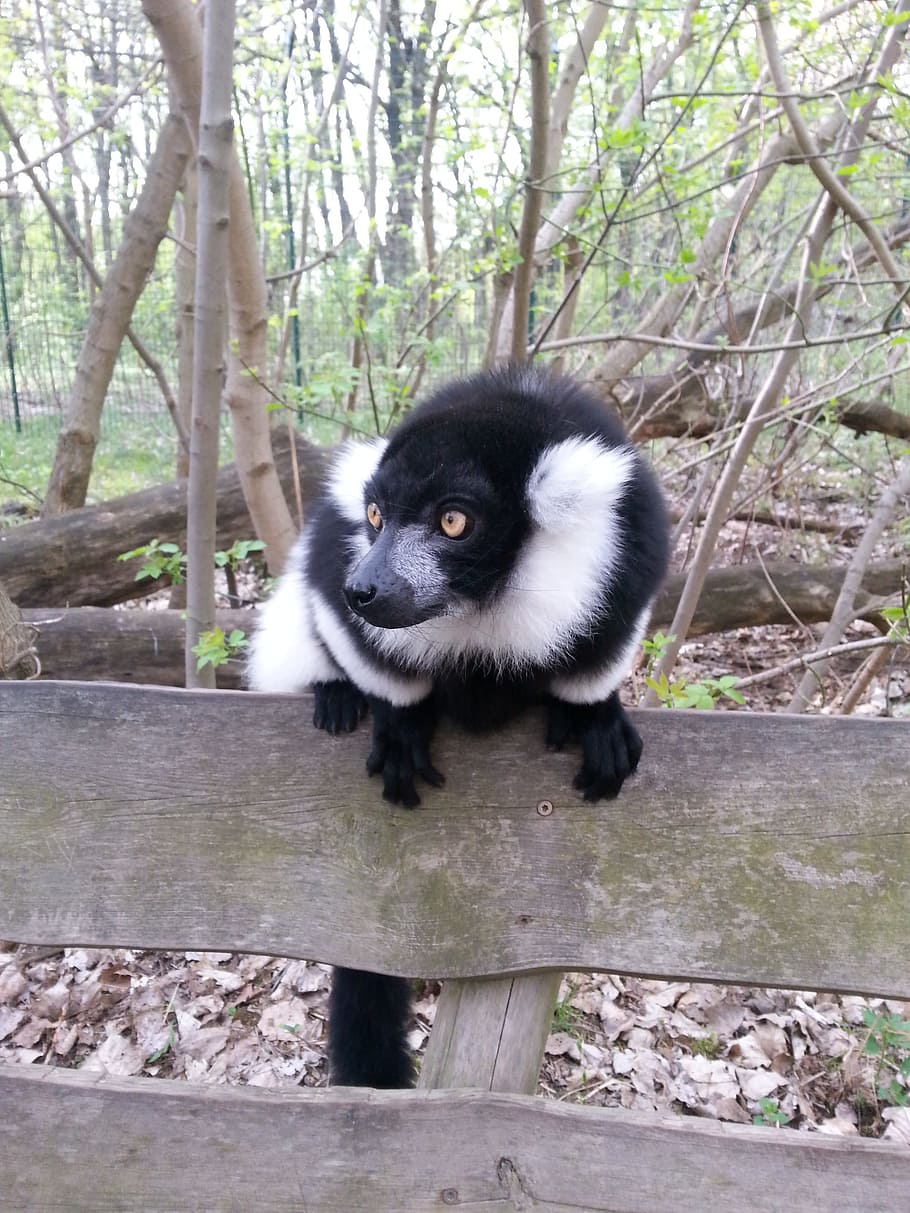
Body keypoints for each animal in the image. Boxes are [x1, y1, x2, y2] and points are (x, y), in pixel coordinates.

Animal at [247, 365, 670, 1087]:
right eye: (375, 517)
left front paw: (595, 714)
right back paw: (334, 692)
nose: (364, 586)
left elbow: (609, 629)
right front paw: (398, 723)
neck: (479, 602)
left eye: (453, 521)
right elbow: (337, 608)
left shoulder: (632, 539)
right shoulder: (338, 553)